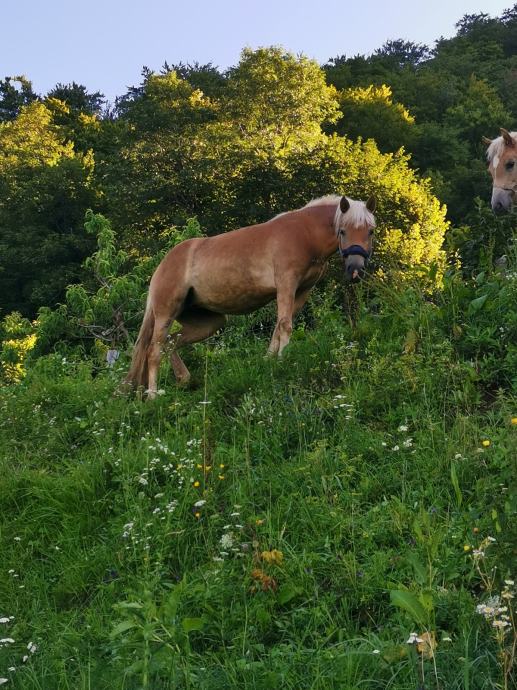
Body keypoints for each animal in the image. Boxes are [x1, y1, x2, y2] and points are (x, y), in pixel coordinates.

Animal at [125, 194, 374, 398]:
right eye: (343, 231)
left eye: (370, 231)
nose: (355, 269)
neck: (304, 233)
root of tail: (162, 266)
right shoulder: (286, 284)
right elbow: (285, 325)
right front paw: (283, 360)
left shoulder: (302, 291)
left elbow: (278, 327)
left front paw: (269, 360)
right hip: (165, 313)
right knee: (154, 351)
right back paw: (153, 395)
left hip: (209, 322)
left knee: (170, 343)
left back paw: (183, 380)